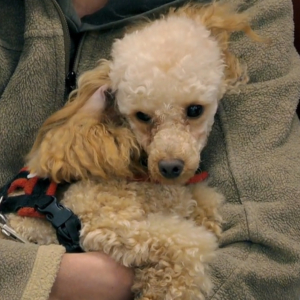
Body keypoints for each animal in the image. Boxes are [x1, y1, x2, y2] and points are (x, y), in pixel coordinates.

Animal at [0, 1, 260, 298]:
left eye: (195, 110)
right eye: (142, 116)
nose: (170, 167)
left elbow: (203, 202)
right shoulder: (103, 222)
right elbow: (185, 247)